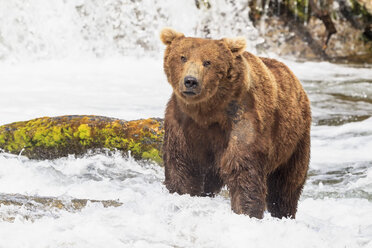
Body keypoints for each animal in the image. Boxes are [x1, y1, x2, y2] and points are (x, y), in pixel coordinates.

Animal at [160, 28, 310, 219]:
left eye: (208, 62)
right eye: (182, 57)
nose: (190, 81)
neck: (208, 112)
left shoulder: (242, 117)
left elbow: (242, 167)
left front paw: (247, 210)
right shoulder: (182, 121)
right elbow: (181, 162)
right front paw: (182, 192)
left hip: (293, 140)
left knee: (286, 184)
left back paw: (283, 212)